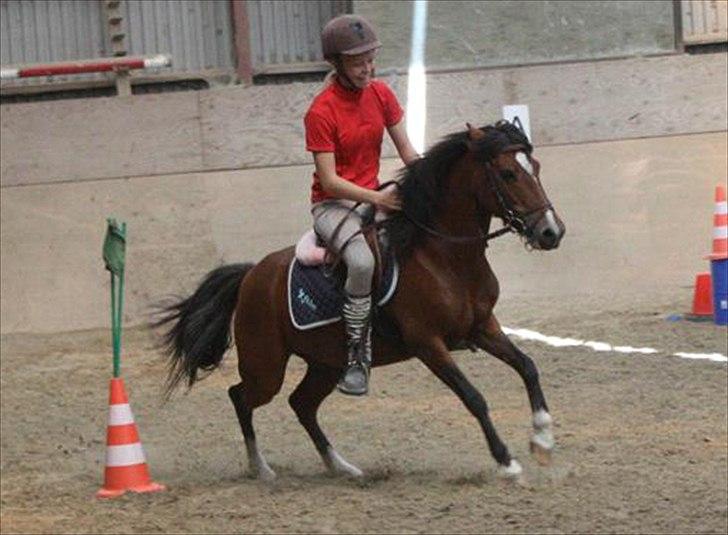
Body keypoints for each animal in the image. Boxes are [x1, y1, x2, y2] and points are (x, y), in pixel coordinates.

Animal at [158, 120, 568, 482]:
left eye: (535, 168)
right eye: (508, 173)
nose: (551, 232)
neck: (445, 257)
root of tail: (251, 275)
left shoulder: (483, 327)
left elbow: (528, 366)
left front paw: (543, 441)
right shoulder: (428, 343)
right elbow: (474, 396)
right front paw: (507, 462)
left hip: (325, 363)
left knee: (301, 404)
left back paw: (341, 467)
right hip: (266, 367)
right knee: (241, 397)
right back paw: (261, 468)